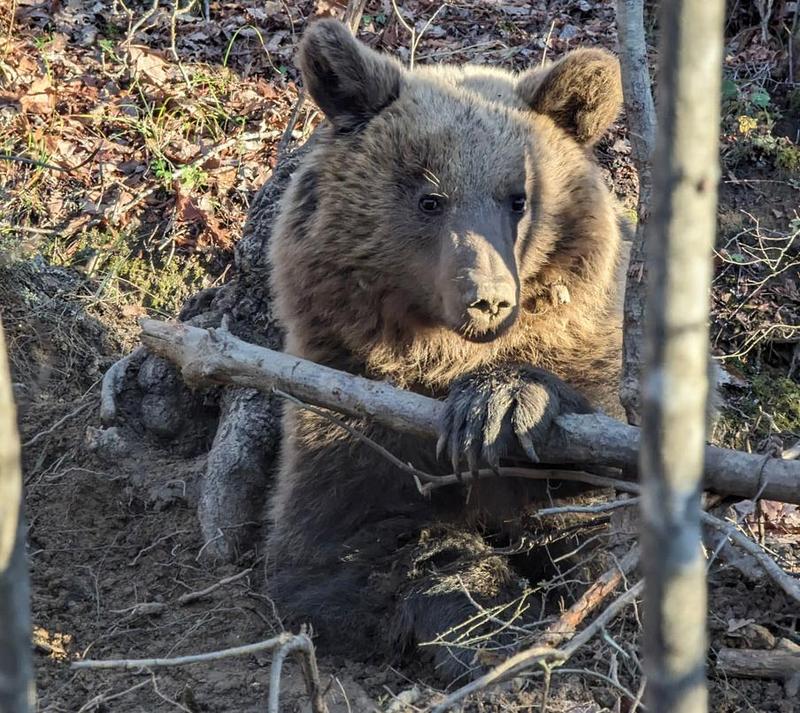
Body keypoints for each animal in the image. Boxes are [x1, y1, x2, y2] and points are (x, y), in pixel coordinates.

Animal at [265, 18, 625, 681]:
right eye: (430, 198)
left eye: (518, 197)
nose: (488, 298)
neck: (441, 360)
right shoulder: (348, 403)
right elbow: (347, 539)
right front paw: (480, 616)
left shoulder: (587, 367)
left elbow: (587, 509)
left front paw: (499, 407)